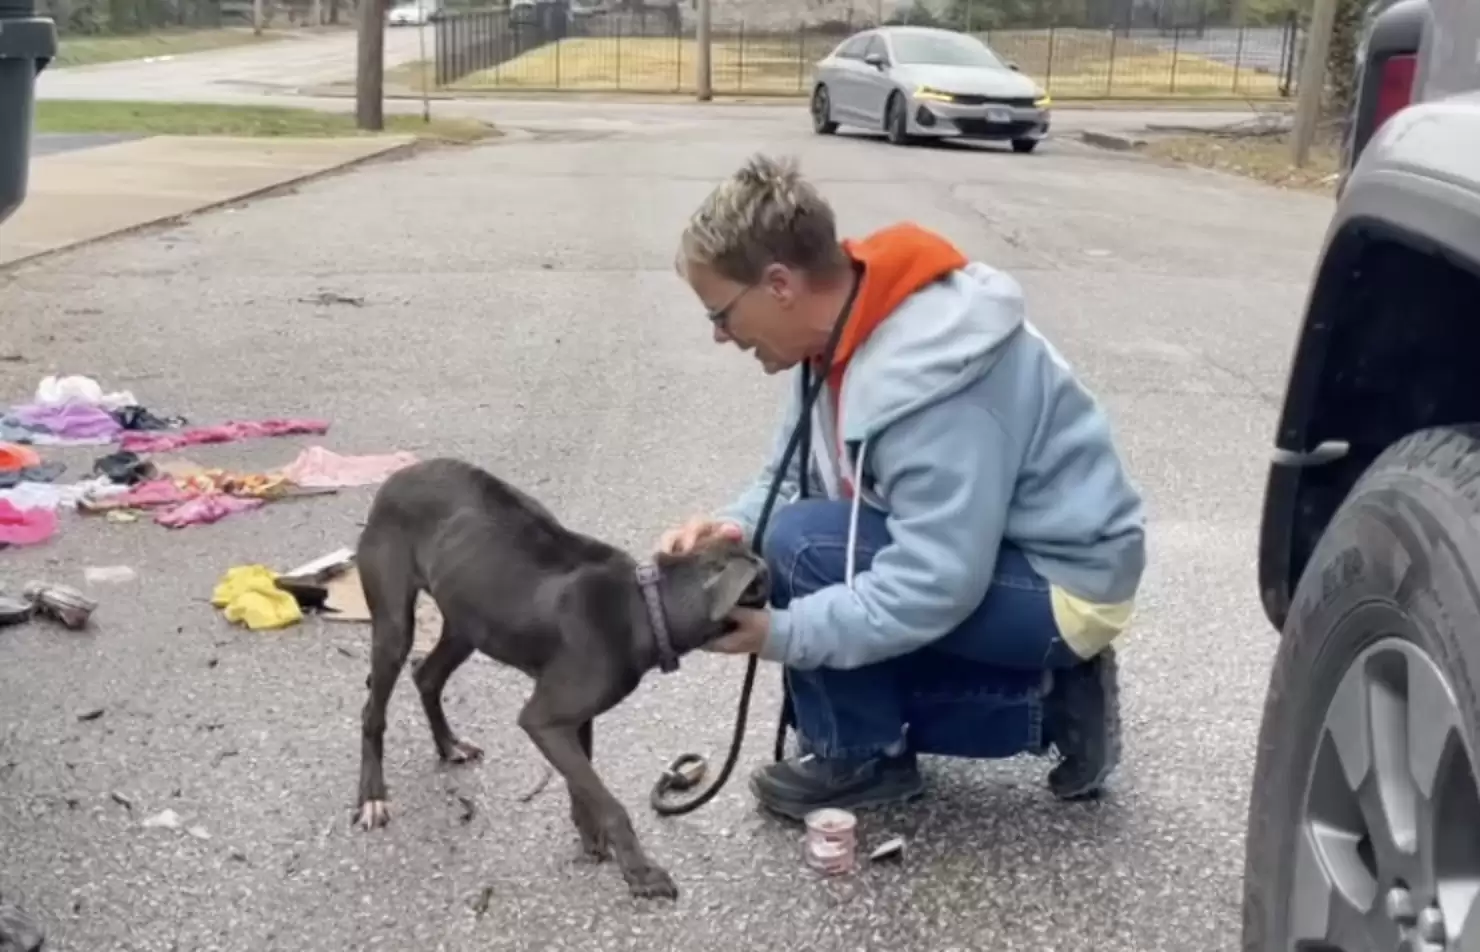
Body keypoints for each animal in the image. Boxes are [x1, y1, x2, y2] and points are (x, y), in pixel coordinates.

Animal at [352, 458, 769, 900]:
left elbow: (581, 783)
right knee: (373, 710)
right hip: (395, 624)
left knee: (426, 676)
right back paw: (372, 797)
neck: (644, 607)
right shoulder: (542, 719)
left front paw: (591, 838)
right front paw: (640, 871)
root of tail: (398, 477)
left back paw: (449, 745)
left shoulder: (574, 719)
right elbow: (606, 799)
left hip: (467, 622)